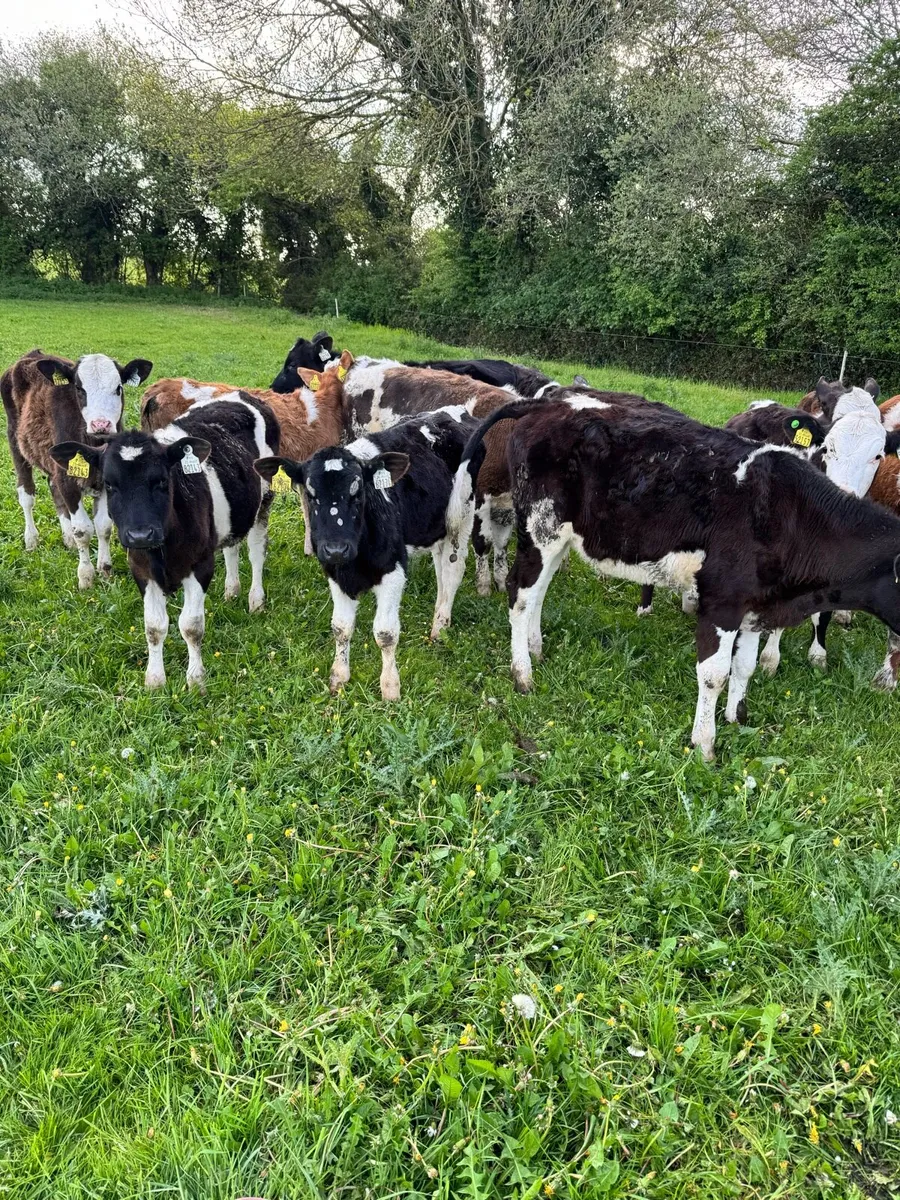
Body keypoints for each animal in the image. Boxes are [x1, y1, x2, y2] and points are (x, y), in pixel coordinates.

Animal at [1, 349, 153, 587]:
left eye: (118, 388)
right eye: (80, 389)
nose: (101, 424)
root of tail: (31, 354)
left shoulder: (106, 480)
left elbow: (104, 526)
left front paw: (105, 570)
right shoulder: (68, 479)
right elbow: (83, 530)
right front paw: (86, 577)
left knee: (53, 486)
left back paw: (67, 537)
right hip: (15, 441)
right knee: (26, 495)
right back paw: (31, 539)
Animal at [49, 394, 278, 690]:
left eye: (161, 480)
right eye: (110, 484)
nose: (140, 535)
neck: (163, 549)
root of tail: (243, 395)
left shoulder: (200, 565)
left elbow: (191, 626)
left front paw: (196, 680)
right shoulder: (141, 569)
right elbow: (154, 626)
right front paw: (155, 680)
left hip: (266, 498)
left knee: (256, 550)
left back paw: (255, 600)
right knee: (231, 546)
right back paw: (231, 590)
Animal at [254, 408, 486, 700]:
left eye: (358, 493)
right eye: (311, 494)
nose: (336, 549)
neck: (355, 561)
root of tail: (456, 412)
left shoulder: (393, 572)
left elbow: (385, 633)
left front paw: (390, 688)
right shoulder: (335, 574)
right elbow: (341, 627)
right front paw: (339, 677)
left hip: (462, 515)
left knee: (453, 569)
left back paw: (440, 627)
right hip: (435, 526)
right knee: (440, 570)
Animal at [460, 396, 900, 760]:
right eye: (829, 450)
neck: (792, 515)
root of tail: (546, 404)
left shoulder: (757, 604)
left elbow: (744, 667)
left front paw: (736, 717)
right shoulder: (722, 600)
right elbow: (714, 674)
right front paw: (704, 744)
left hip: (560, 536)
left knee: (539, 591)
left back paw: (535, 648)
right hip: (540, 528)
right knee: (520, 594)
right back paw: (522, 674)